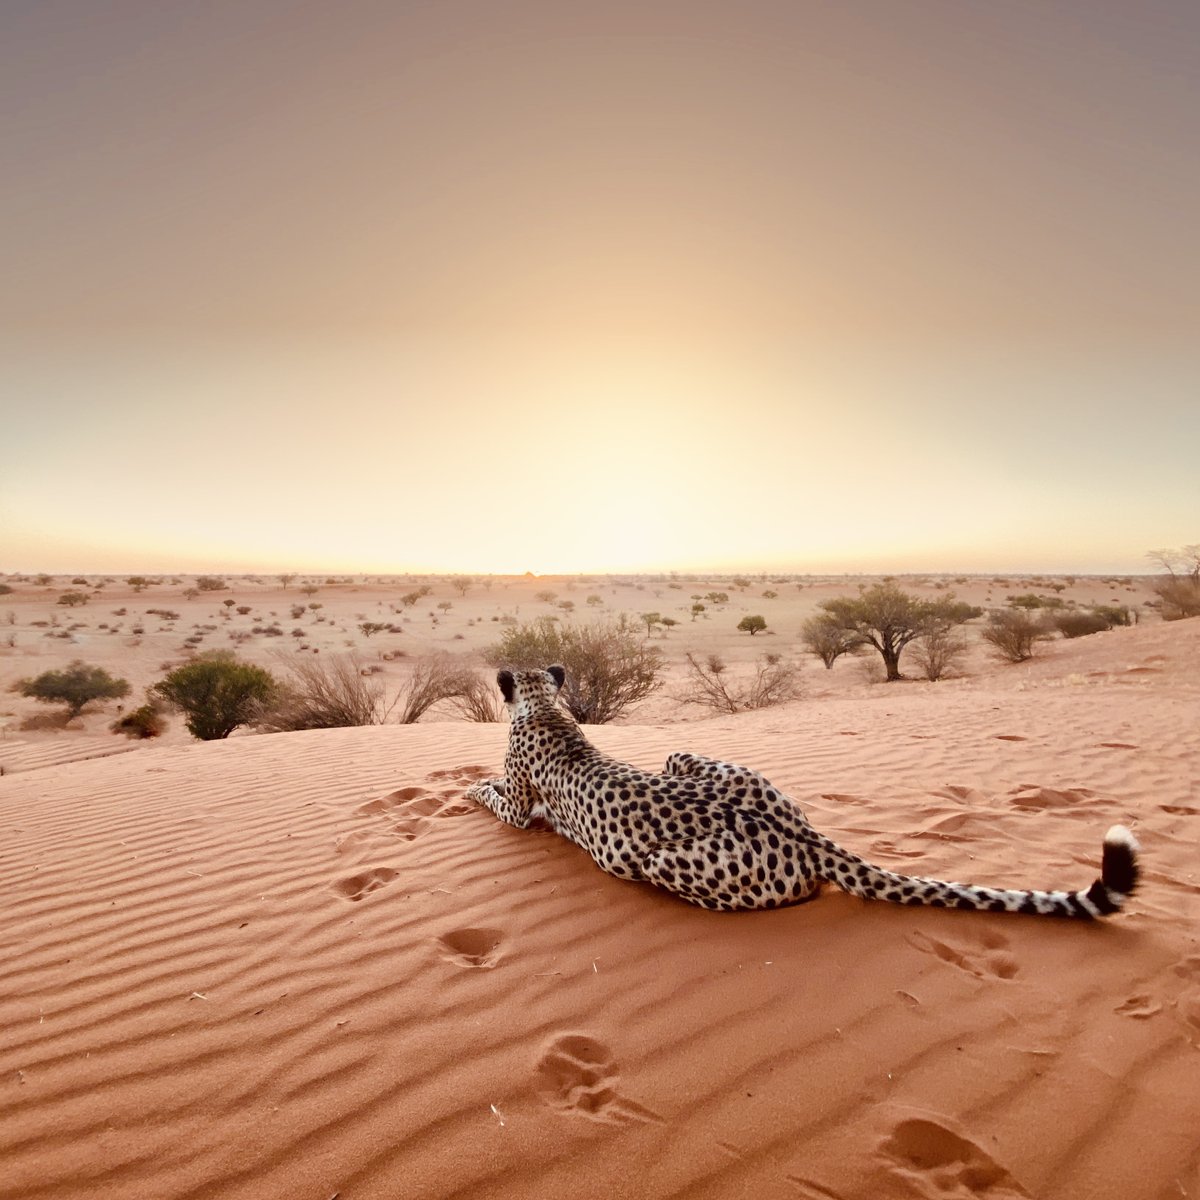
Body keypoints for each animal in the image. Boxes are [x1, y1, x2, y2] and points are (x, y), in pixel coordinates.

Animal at [463, 667, 1137, 916]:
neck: (544, 705)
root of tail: (805, 834)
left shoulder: (520, 809)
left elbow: (497, 796)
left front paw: (467, 788)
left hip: (654, 861)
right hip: (687, 759)